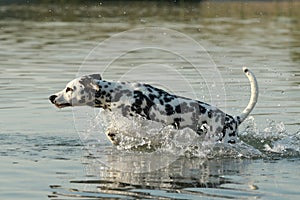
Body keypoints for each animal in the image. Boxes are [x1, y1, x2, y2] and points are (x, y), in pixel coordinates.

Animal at [48, 67, 258, 144]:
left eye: (69, 88)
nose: (51, 97)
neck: (117, 93)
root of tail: (233, 119)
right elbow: (111, 132)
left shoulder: (143, 124)